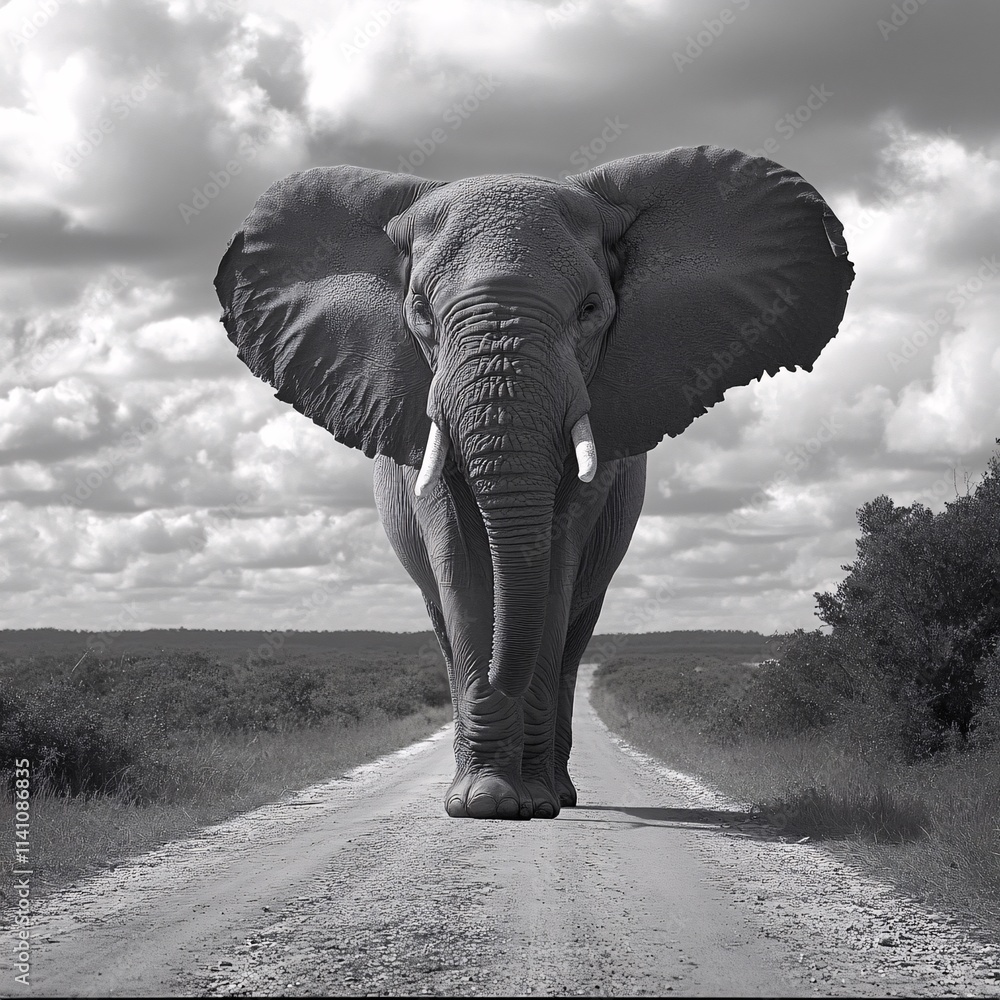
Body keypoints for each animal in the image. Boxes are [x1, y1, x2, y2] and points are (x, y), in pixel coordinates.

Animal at [214, 146, 853, 821]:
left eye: (591, 310)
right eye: (421, 312)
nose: (498, 679)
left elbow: (552, 567)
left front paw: (527, 801)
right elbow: (463, 566)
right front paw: (483, 802)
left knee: (574, 629)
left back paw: (559, 793)